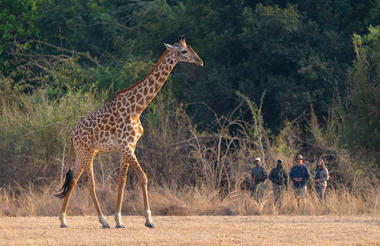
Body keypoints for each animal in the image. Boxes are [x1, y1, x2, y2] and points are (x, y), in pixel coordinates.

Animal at [55, 36, 202, 229]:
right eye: (184, 51)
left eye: (191, 49)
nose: (200, 61)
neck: (137, 108)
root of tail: (72, 133)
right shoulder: (126, 146)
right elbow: (143, 177)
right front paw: (148, 220)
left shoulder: (130, 146)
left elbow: (121, 182)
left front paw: (119, 220)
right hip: (85, 151)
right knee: (89, 182)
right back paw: (102, 220)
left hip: (87, 152)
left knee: (73, 178)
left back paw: (63, 220)